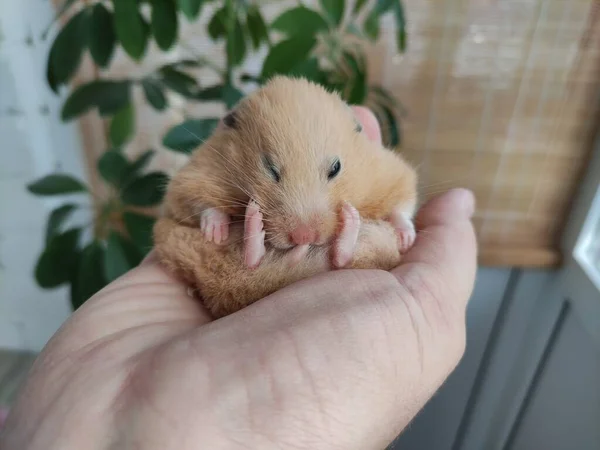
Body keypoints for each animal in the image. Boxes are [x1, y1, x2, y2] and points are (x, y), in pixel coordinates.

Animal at [155, 76, 418, 316]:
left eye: (336, 168)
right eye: (270, 168)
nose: (303, 237)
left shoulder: (389, 172)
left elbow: (402, 204)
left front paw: (407, 238)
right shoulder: (195, 174)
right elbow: (199, 202)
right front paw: (216, 231)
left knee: (340, 259)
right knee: (253, 260)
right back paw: (252, 225)